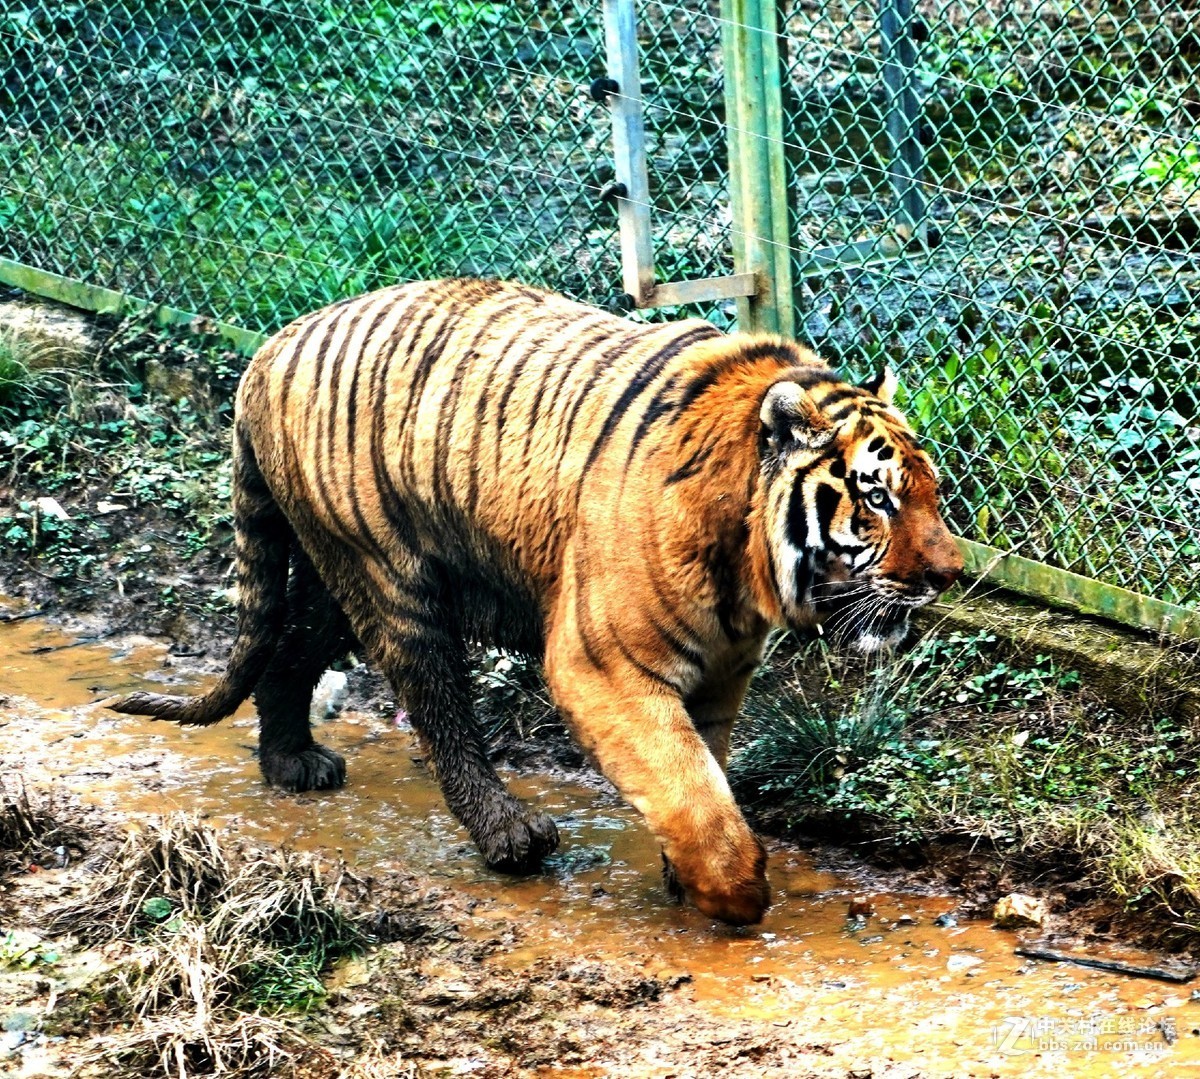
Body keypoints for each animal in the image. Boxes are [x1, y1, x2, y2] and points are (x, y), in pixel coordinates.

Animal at [108, 278, 960, 926]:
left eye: (931, 490)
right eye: (877, 498)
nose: (951, 573)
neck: (744, 562)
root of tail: (270, 346)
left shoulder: (721, 673)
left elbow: (704, 769)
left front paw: (686, 874)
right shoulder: (603, 663)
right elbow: (687, 781)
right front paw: (733, 889)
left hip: (333, 571)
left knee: (290, 647)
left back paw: (291, 761)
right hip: (390, 577)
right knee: (437, 706)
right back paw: (511, 836)